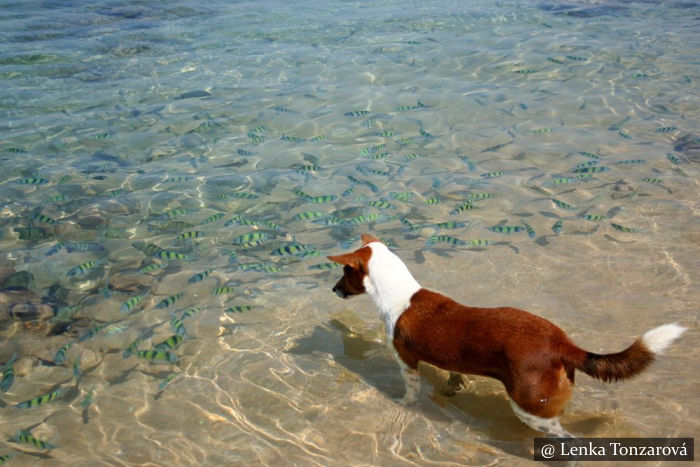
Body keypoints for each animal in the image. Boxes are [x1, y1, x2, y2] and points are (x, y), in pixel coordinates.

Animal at [326, 236, 684, 436]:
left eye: (344, 272)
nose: (332, 290)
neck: (401, 295)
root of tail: (563, 344)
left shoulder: (406, 361)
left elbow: (410, 391)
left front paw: (402, 403)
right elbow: (454, 373)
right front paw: (453, 388)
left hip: (528, 407)